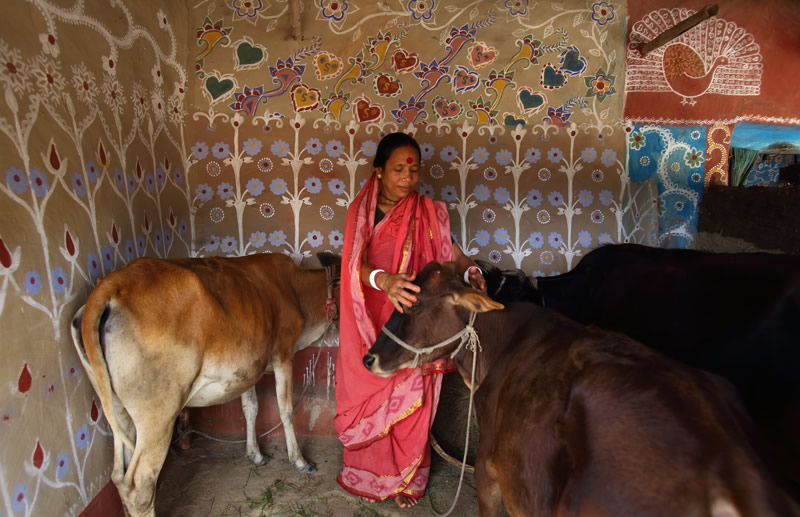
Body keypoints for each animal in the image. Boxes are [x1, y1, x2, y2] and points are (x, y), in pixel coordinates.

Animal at [69, 251, 340, 516]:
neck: (294, 288)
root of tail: (111, 284)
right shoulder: (283, 354)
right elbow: (286, 410)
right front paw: (299, 460)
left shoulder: (249, 366)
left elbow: (250, 408)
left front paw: (255, 454)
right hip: (157, 415)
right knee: (140, 485)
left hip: (117, 409)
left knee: (119, 475)